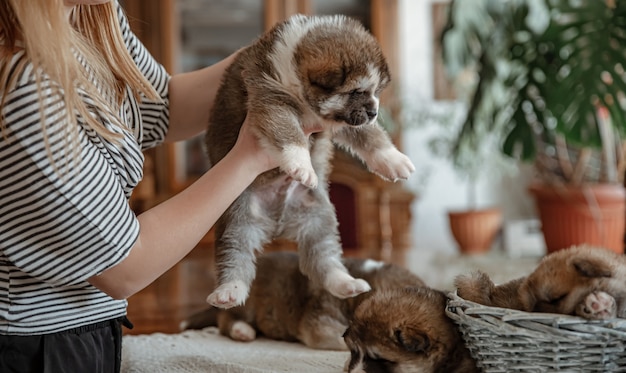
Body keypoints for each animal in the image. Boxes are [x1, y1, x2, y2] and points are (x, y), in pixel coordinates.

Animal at [202, 13, 414, 308]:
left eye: (376, 91)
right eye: (356, 91)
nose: (374, 112)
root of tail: (277, 224)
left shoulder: (342, 121)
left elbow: (370, 136)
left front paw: (394, 160)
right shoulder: (271, 98)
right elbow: (288, 132)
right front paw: (301, 164)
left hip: (319, 217)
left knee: (323, 257)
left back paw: (345, 282)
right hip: (236, 219)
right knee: (235, 253)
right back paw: (229, 290)